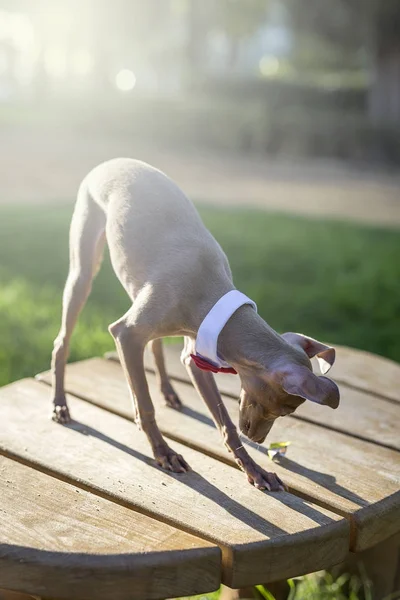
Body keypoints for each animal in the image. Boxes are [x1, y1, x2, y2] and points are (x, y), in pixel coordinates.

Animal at [51, 159, 340, 492]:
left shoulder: (197, 353)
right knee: (62, 341)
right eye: (284, 409)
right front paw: (163, 452)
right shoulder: (126, 334)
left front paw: (254, 470)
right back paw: (60, 405)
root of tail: (111, 161)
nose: (257, 438)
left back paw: (168, 391)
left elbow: (225, 424)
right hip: (84, 269)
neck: (209, 289)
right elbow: (145, 406)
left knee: (155, 344)